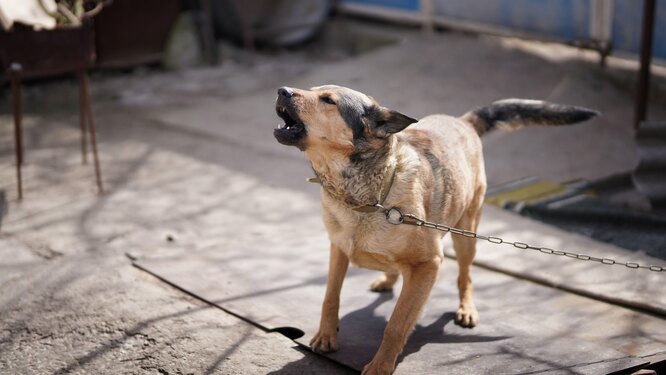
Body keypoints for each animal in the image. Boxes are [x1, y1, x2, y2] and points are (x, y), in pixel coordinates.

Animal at [272, 85, 592, 375]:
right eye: (312, 90)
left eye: (328, 100)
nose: (282, 90)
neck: (368, 197)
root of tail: (463, 121)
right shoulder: (338, 249)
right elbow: (330, 297)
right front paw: (326, 336)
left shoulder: (428, 265)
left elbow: (397, 324)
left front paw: (380, 366)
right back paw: (388, 279)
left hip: (466, 235)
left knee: (465, 276)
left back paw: (466, 308)